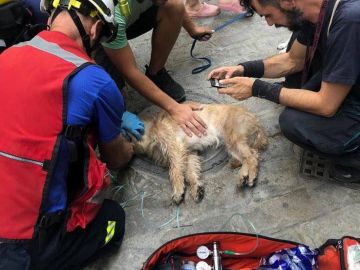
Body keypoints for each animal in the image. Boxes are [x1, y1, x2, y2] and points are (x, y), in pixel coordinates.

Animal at [132, 104, 268, 205]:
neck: (151, 129)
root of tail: (256, 121)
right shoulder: (189, 153)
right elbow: (190, 174)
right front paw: (196, 189)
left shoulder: (176, 149)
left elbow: (175, 172)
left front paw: (178, 191)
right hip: (232, 144)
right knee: (250, 156)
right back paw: (243, 176)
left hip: (233, 139)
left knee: (252, 157)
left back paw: (251, 177)